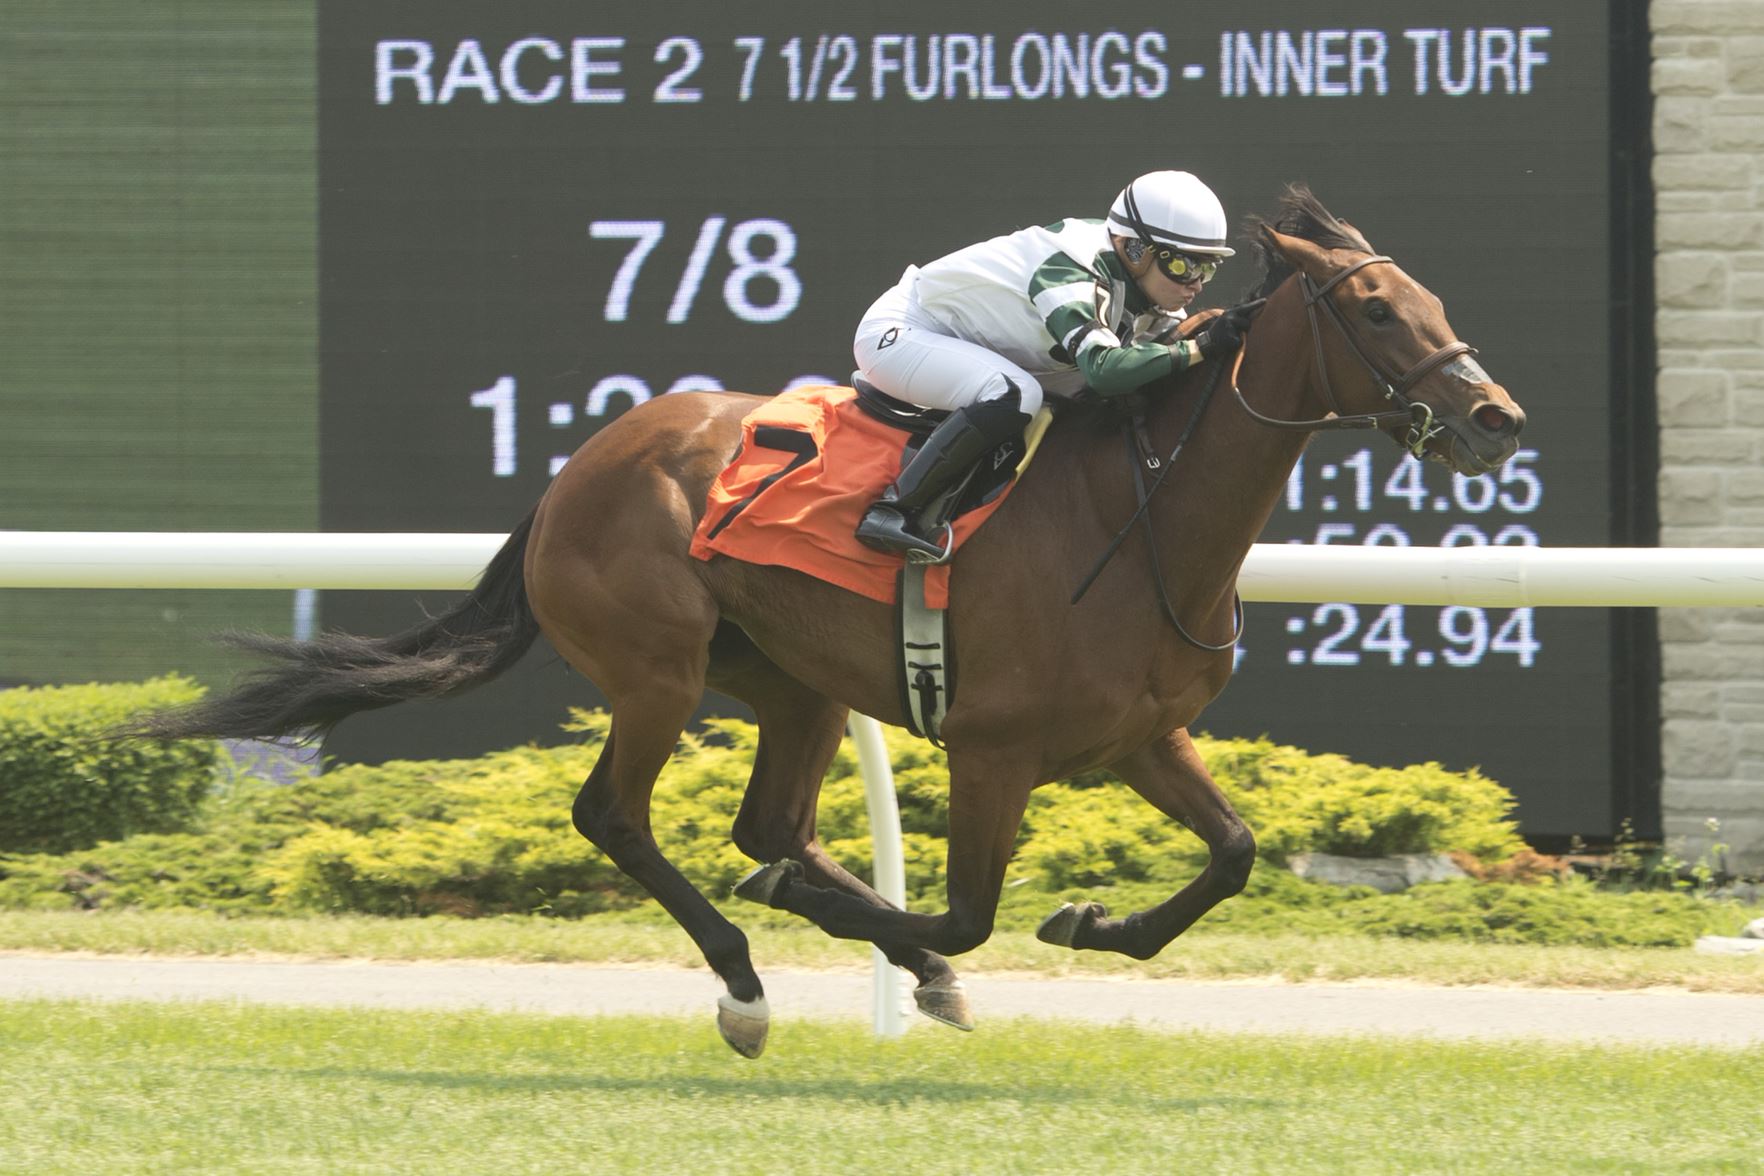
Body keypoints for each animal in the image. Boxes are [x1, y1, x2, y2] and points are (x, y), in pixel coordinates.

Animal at [133, 186, 1524, 1057]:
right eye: (1380, 311)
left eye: (1428, 295)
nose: (1495, 416)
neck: (1137, 518)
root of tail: (579, 467)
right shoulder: (994, 748)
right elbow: (962, 912)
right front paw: (939, 942)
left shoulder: (1139, 738)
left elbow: (1232, 854)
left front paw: (1090, 922)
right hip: (654, 671)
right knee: (618, 819)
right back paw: (747, 982)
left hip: (792, 681)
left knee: (766, 823)